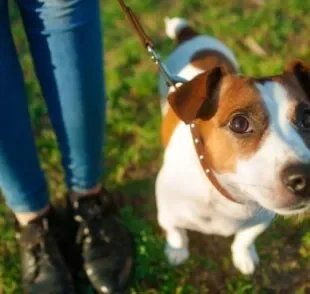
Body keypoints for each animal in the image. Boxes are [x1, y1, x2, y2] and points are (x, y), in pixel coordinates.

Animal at [156, 16, 310, 274]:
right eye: (239, 123)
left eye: (308, 117)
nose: (306, 177)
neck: (226, 192)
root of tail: (191, 35)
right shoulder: (166, 213)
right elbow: (176, 233)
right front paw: (177, 251)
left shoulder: (261, 219)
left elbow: (245, 238)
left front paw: (243, 256)